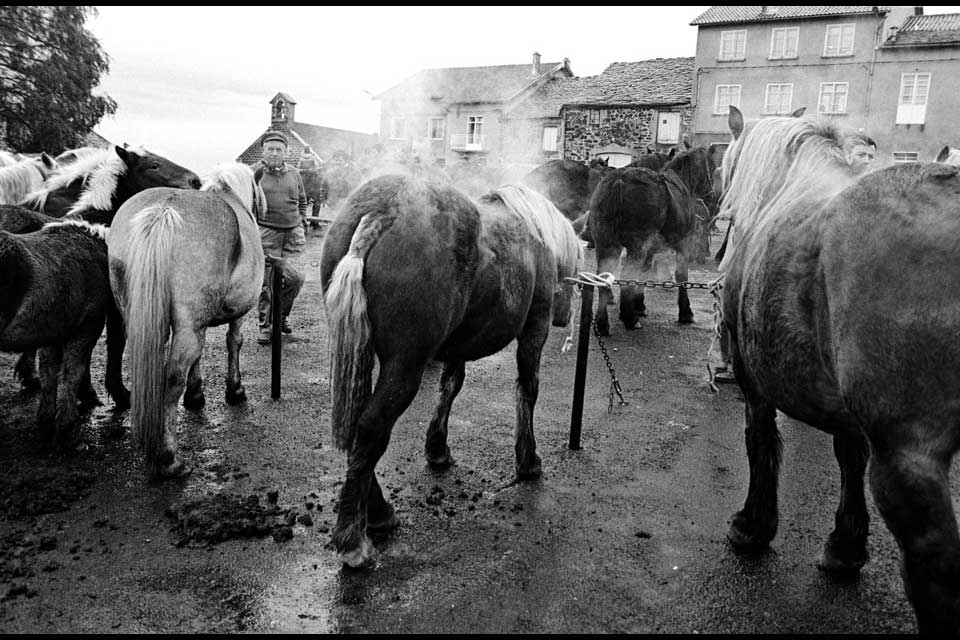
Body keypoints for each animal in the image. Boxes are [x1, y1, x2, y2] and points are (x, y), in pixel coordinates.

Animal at [0, 220, 129, 444]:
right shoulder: (87, 326)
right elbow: (73, 371)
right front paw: (68, 428)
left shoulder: (53, 330)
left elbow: (49, 372)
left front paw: (46, 420)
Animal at [108, 162, 266, 478]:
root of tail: (164, 211)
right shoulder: (235, 314)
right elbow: (234, 342)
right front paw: (235, 389)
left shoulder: (197, 325)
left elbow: (199, 355)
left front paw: (195, 394)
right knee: (171, 377)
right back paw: (169, 458)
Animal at [318, 176, 580, 568]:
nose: (565, 316)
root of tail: (382, 212)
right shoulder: (535, 328)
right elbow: (527, 390)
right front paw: (527, 460)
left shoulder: (457, 347)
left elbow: (450, 388)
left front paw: (437, 447)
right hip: (405, 365)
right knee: (371, 428)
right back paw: (354, 539)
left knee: (356, 428)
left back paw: (377, 512)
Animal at [588, 143, 716, 338]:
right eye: (714, 165)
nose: (712, 195)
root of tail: (619, 180)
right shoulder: (684, 243)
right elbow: (682, 275)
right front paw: (685, 312)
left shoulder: (650, 250)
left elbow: (644, 272)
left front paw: (639, 304)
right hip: (636, 246)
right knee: (626, 276)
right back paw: (629, 318)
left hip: (606, 244)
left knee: (604, 277)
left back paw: (603, 323)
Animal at [720, 102, 960, 632]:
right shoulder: (848, 413)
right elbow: (849, 457)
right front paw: (845, 547)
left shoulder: (752, 384)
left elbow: (759, 443)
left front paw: (752, 526)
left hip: (909, 460)